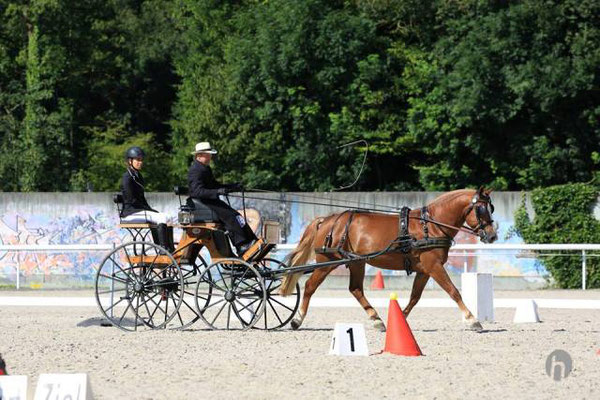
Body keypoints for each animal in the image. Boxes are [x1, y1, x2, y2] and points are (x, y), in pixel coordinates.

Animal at [280, 188, 496, 332]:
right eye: (481, 209)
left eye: (491, 208)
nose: (493, 236)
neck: (431, 225)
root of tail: (327, 219)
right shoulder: (434, 267)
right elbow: (453, 291)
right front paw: (472, 319)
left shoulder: (424, 270)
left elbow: (415, 297)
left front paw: (400, 320)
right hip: (327, 262)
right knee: (310, 286)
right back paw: (297, 320)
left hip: (357, 262)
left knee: (355, 289)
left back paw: (377, 320)